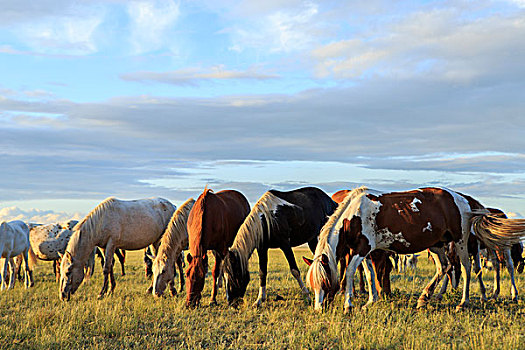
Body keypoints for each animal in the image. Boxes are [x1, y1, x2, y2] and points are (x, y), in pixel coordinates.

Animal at [304, 187, 524, 314]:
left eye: (325, 283)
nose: (318, 309)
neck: (355, 215)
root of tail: (465, 200)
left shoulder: (362, 249)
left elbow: (349, 272)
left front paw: (348, 305)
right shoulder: (363, 251)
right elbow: (369, 274)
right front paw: (371, 301)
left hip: (460, 241)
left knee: (466, 268)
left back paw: (464, 302)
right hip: (437, 245)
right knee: (444, 268)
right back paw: (424, 298)